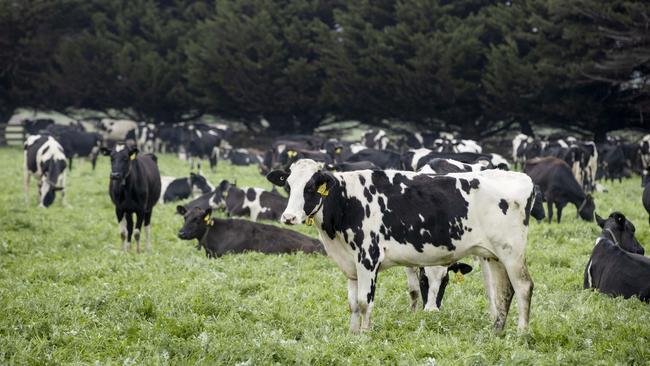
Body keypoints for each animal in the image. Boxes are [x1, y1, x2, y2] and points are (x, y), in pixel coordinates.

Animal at [266, 159, 536, 334]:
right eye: (288, 186)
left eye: (311, 187)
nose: (288, 217)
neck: (346, 202)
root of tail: (520, 176)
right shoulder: (350, 265)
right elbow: (352, 304)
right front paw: (352, 335)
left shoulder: (368, 257)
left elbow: (364, 302)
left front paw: (365, 336)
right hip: (495, 255)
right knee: (503, 292)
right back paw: (497, 332)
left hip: (512, 252)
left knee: (523, 287)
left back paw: (521, 333)